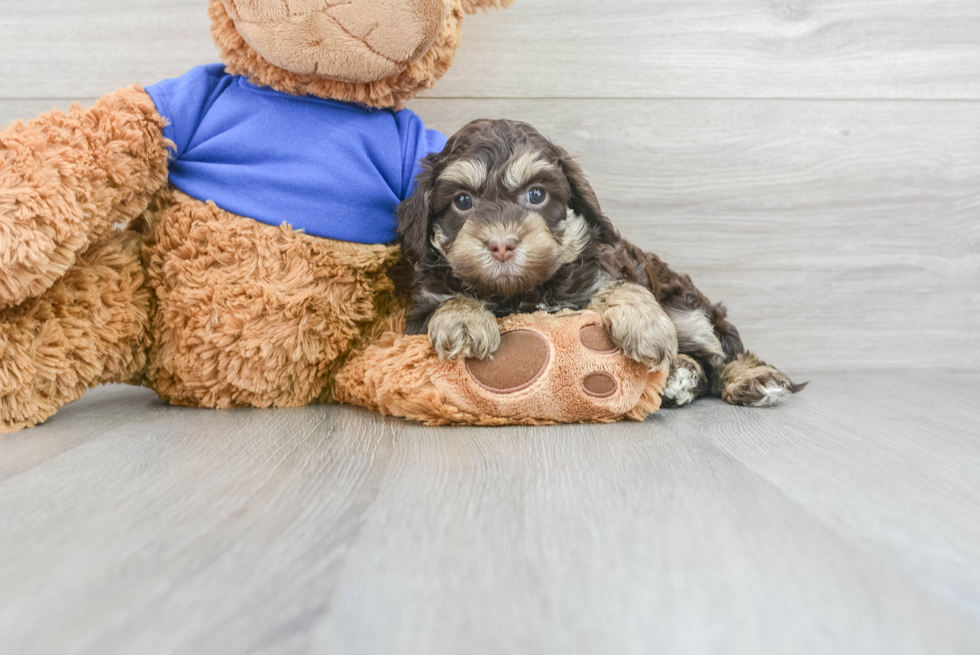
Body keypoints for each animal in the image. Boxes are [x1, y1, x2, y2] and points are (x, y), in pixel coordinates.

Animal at [398, 120, 804, 408]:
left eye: (536, 195)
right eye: (463, 202)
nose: (501, 245)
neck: (523, 290)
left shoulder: (601, 269)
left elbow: (621, 286)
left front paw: (644, 324)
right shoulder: (416, 318)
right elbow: (449, 301)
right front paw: (465, 321)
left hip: (687, 310)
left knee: (720, 353)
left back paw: (751, 378)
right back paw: (681, 377)